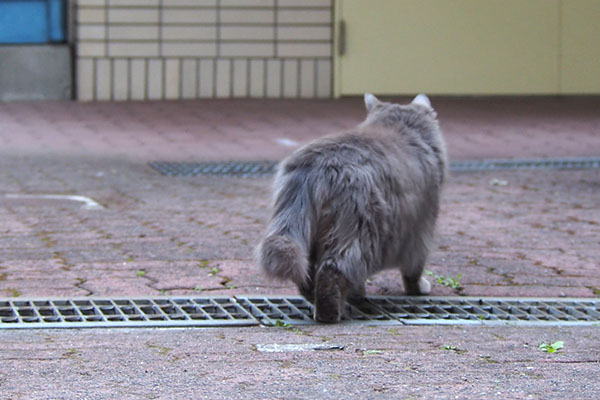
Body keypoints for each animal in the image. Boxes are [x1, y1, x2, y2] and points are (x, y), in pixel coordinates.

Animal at [255, 94, 448, 322]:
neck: (400, 128)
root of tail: (315, 165)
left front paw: (357, 294)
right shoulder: (421, 231)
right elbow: (413, 271)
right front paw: (417, 288)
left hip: (308, 235)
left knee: (307, 274)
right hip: (361, 233)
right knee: (334, 270)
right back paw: (330, 313)